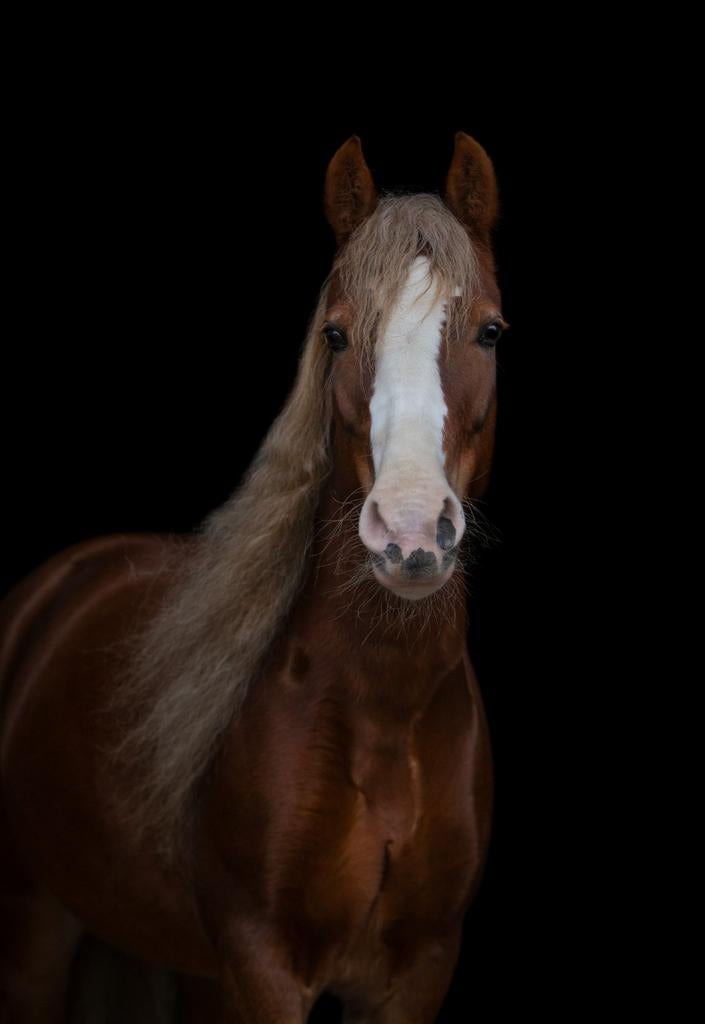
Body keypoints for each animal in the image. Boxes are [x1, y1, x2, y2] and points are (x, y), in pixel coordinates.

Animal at [0, 131, 506, 1023]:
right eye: (335, 335)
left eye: (487, 331)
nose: (410, 530)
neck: (384, 707)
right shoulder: (261, 962)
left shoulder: (418, 970)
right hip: (36, 923)